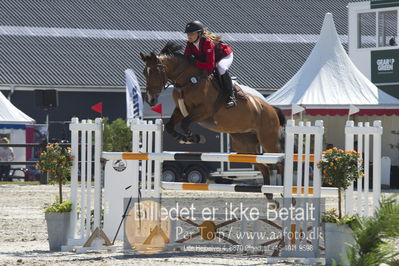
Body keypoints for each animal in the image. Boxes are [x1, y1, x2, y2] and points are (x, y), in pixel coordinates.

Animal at [140, 42, 284, 186]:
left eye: (155, 72)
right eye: (144, 73)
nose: (150, 100)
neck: (188, 80)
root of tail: (271, 108)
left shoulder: (204, 110)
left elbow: (185, 123)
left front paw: (195, 138)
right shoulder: (181, 109)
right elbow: (170, 126)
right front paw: (182, 138)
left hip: (267, 139)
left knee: (280, 163)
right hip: (244, 144)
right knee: (264, 167)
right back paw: (268, 191)